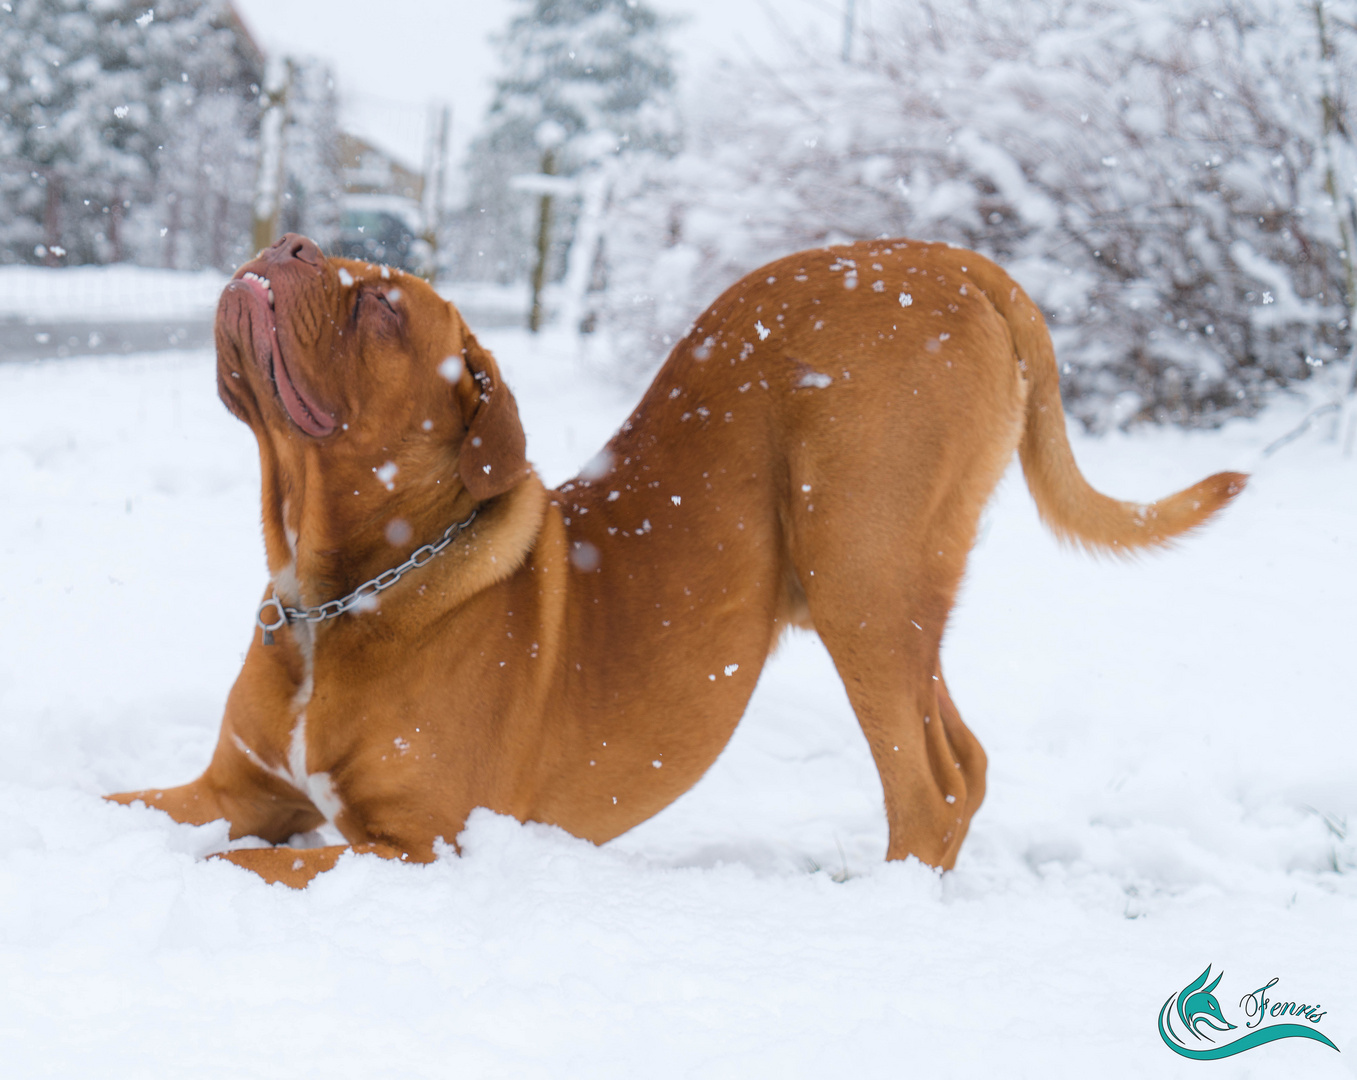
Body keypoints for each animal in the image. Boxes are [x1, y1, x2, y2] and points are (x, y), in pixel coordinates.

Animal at [111, 232, 1243, 879]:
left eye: (385, 306)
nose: (289, 239)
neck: (334, 592)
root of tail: (951, 259)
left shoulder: (420, 844)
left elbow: (253, 868)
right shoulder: (237, 790)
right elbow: (131, 808)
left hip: (860, 575)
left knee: (926, 786)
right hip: (892, 593)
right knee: (960, 760)